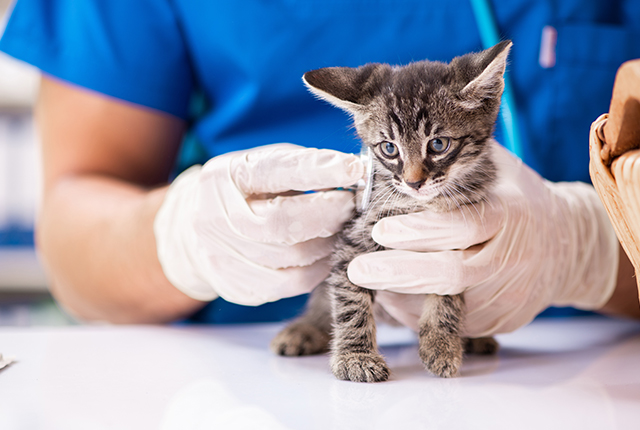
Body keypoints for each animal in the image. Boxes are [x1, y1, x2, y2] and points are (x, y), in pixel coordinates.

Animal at [272, 41, 512, 382]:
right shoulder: (353, 241)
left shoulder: (458, 245)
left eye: (438, 144)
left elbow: (448, 290)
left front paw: (441, 344)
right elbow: (349, 302)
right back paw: (303, 330)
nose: (413, 182)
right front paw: (355, 357)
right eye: (389, 148)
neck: (419, 204)